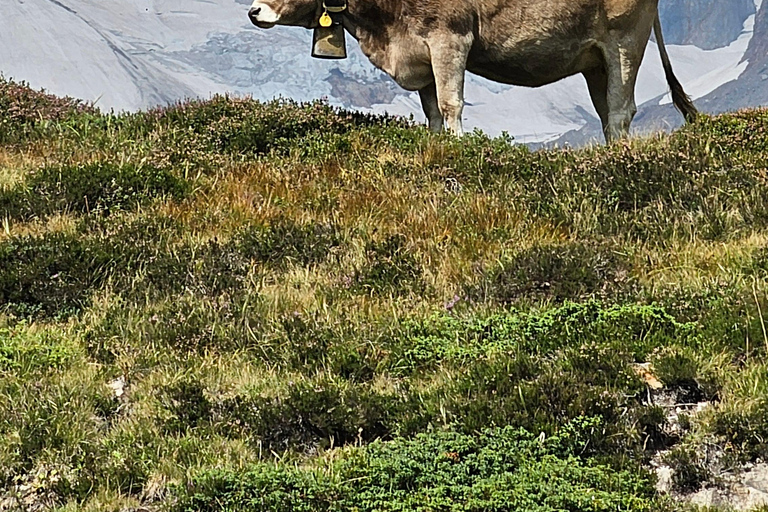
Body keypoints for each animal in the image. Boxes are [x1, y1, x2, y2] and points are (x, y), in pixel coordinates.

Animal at [249, 0, 700, 141]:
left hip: (625, 41)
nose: (253, 11)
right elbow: (432, 112)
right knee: (607, 114)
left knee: (622, 111)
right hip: (594, 61)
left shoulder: (450, 38)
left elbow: (452, 104)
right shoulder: (422, 57)